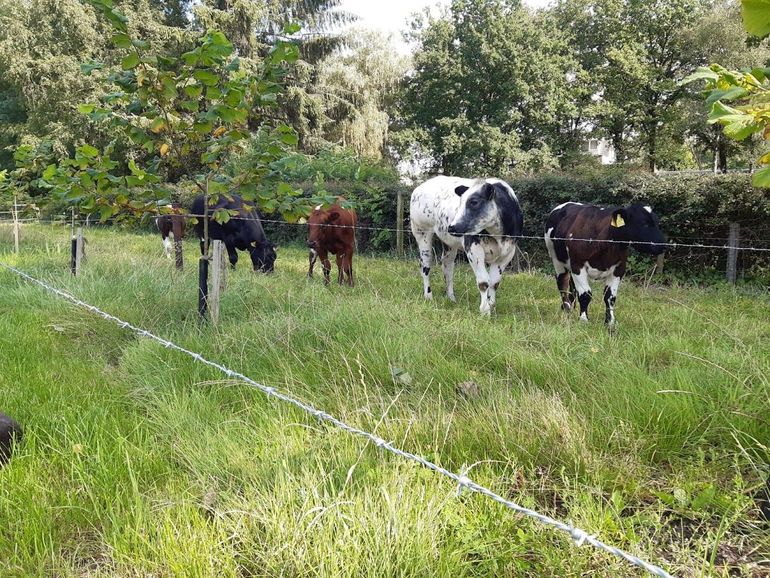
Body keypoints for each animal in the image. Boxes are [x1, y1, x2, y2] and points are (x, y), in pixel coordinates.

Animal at [408, 174, 520, 312]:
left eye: (474, 202)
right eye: (460, 202)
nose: (452, 227)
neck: (498, 235)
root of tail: (420, 187)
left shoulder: (508, 252)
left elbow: (494, 282)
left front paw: (492, 305)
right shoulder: (473, 248)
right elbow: (484, 282)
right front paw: (485, 310)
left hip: (449, 243)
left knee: (448, 267)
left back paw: (451, 298)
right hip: (421, 232)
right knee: (425, 266)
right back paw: (428, 296)